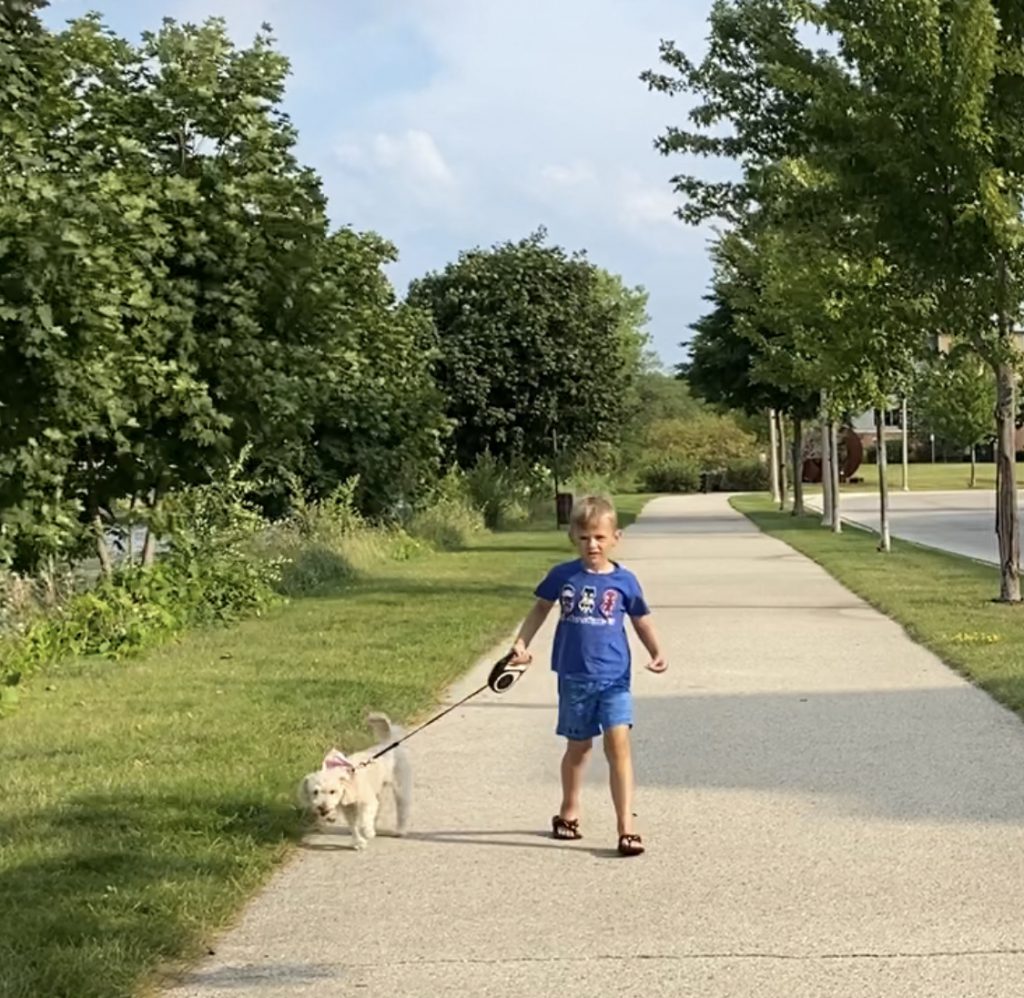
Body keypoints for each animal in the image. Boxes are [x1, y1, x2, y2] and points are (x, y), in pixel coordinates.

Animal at [299, 708, 409, 851]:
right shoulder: (349, 809)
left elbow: (365, 816)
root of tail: (388, 743)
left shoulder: (367, 801)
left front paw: (367, 831)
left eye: (333, 791)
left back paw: (400, 829)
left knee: (402, 807)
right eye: (315, 792)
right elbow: (353, 826)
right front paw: (358, 842)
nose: (322, 808)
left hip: (400, 785)